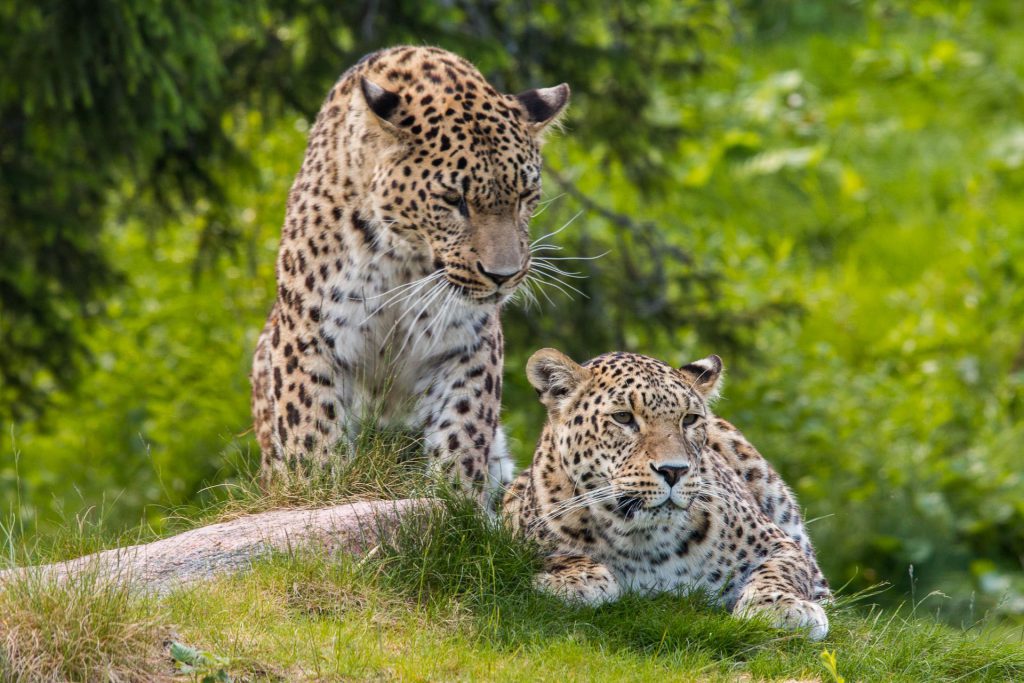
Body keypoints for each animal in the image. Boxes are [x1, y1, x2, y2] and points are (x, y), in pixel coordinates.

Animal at [250, 46, 569, 505]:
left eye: (525, 196)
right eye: (453, 199)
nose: (504, 276)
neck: (404, 263)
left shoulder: (467, 345)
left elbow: (463, 427)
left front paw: (457, 500)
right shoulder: (309, 338)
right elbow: (312, 427)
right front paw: (316, 488)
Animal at [504, 348, 831, 640]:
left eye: (689, 419)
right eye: (623, 418)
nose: (674, 470)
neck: (644, 540)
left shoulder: (779, 544)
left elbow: (781, 571)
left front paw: (782, 607)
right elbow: (565, 559)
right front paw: (573, 580)